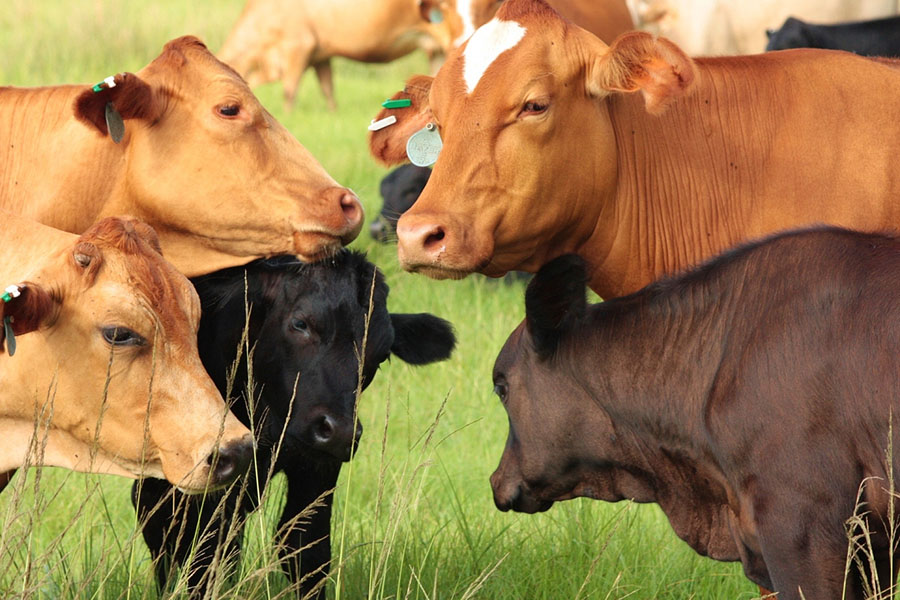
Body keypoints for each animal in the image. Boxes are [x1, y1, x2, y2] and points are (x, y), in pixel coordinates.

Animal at [131, 251, 456, 599]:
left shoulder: (317, 466)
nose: (339, 431)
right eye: (300, 324)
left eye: (381, 355)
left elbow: (305, 547)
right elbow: (197, 547)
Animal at [218, 0, 455, 111]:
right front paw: (332, 112)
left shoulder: (298, 46)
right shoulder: (321, 56)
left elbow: (289, 91)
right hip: (436, 50)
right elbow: (328, 90)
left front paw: (287, 114)